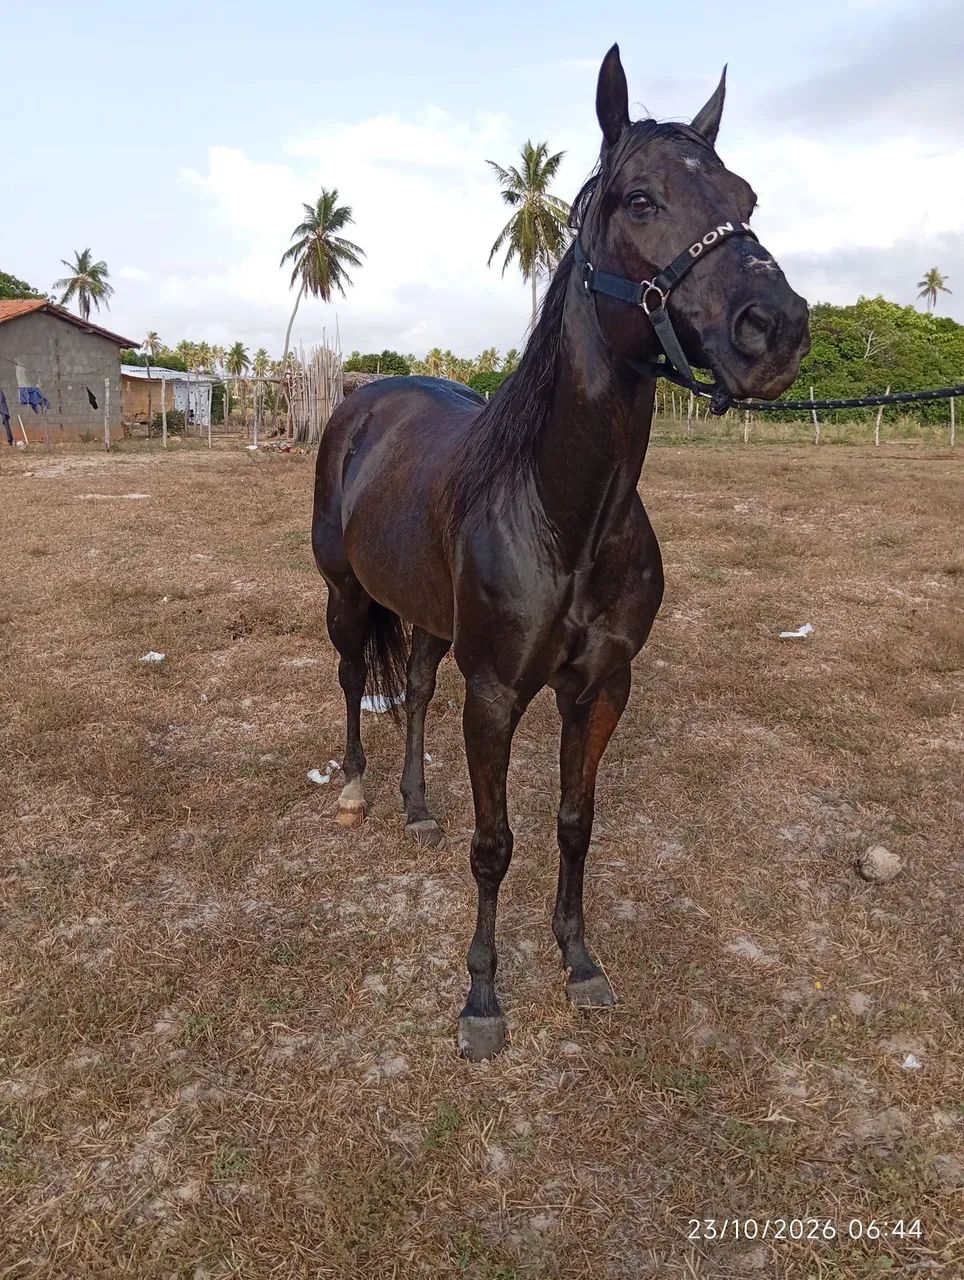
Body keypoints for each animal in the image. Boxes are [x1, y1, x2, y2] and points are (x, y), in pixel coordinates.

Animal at [312, 44, 810, 1061]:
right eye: (640, 199)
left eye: (745, 195)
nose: (774, 328)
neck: (563, 516)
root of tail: (365, 399)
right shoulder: (498, 694)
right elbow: (494, 845)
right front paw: (481, 999)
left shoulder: (603, 685)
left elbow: (575, 823)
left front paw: (578, 962)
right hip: (345, 595)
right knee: (351, 680)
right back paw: (356, 791)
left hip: (429, 618)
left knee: (412, 689)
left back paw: (416, 805)